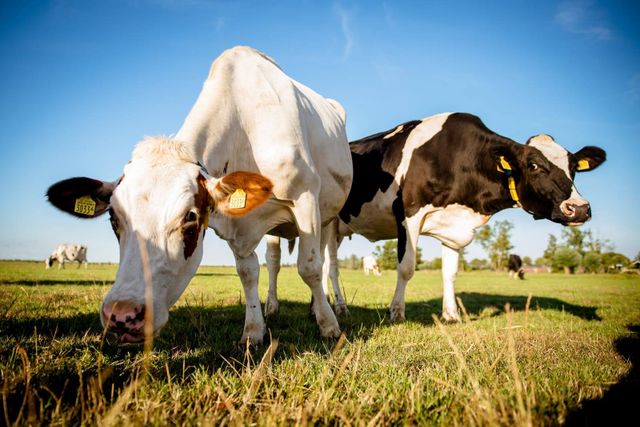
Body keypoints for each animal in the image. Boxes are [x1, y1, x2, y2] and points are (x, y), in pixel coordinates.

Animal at [46, 46, 352, 345]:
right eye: (113, 218)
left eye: (190, 217)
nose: (122, 315)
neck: (243, 128)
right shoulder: (237, 225)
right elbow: (248, 272)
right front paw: (254, 330)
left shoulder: (304, 198)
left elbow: (310, 267)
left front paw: (329, 327)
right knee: (274, 261)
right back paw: (273, 307)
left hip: (327, 217)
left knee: (325, 261)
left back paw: (322, 307)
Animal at [266, 112, 606, 323]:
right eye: (534, 165)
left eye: (574, 167)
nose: (579, 208)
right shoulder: (410, 214)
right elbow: (406, 268)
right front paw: (396, 312)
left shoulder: (453, 228)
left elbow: (450, 272)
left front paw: (451, 314)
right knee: (285, 263)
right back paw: (282, 308)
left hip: (335, 226)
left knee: (331, 266)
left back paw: (335, 307)